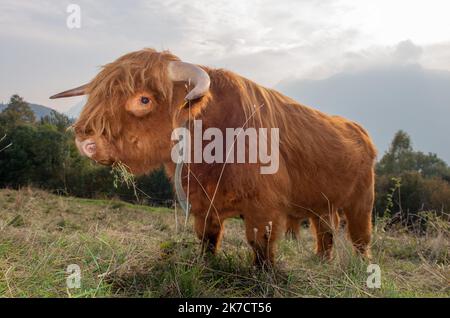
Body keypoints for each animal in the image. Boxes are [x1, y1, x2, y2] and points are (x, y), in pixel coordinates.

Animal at [51, 48, 378, 264]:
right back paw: (321, 261)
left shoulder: (265, 209)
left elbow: (261, 249)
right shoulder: (203, 205)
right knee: (326, 233)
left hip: (362, 201)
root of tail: (358, 129)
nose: (84, 140)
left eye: (144, 99)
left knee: (360, 237)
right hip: (323, 204)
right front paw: (206, 266)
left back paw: (361, 267)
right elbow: (207, 240)